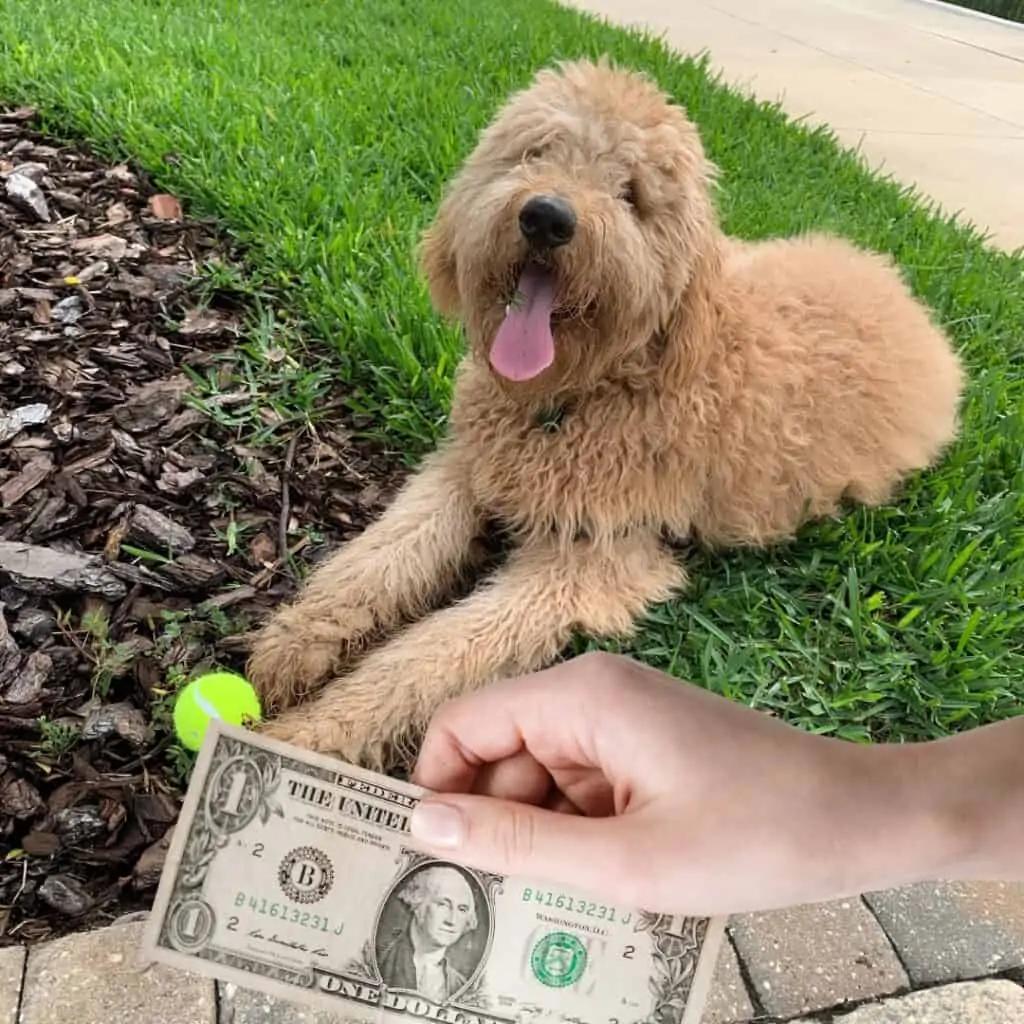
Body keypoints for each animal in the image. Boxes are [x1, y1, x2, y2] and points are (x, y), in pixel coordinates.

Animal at [243, 58, 962, 770]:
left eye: (631, 193)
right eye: (537, 152)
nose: (547, 218)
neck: (577, 395)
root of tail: (909, 301)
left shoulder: (594, 561)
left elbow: (439, 652)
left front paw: (315, 733)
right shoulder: (468, 468)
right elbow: (383, 553)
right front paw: (294, 644)